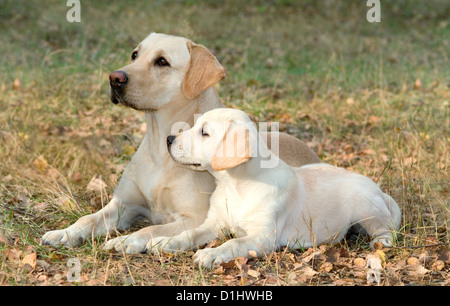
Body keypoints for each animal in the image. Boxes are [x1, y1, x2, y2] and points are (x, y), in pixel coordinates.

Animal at [40, 32, 318, 253]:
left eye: (162, 62)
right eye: (134, 55)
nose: (114, 78)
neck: (158, 149)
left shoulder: (193, 217)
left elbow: (150, 230)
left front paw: (127, 241)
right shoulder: (124, 204)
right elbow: (88, 219)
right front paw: (64, 233)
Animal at [150, 107, 400, 268]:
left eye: (204, 132)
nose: (169, 139)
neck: (235, 186)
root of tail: (380, 191)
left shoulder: (262, 238)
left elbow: (233, 243)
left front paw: (211, 254)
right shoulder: (214, 223)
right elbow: (190, 233)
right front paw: (166, 241)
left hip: (365, 205)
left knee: (385, 228)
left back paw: (382, 241)